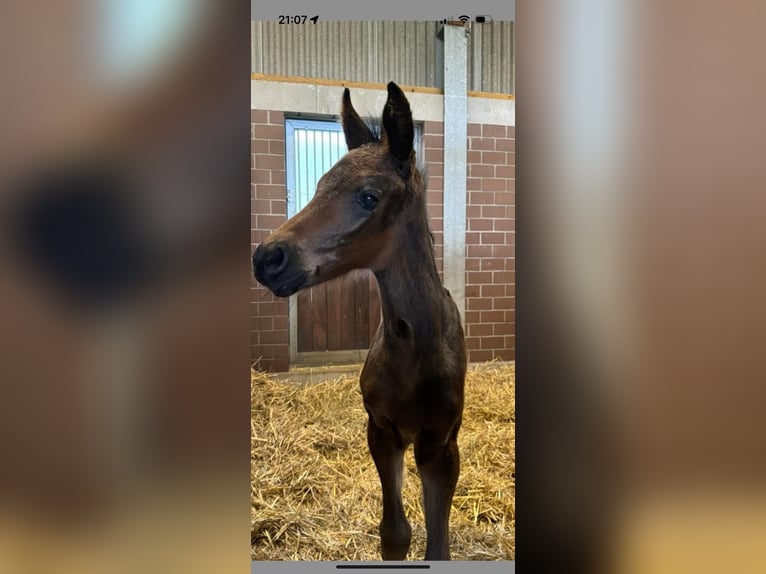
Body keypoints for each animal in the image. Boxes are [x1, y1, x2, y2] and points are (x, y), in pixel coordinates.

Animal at [254, 82, 468, 564]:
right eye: (319, 186)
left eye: (368, 197)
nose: (267, 258)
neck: (414, 347)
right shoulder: (382, 431)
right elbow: (395, 534)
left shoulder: (441, 445)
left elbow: (437, 546)